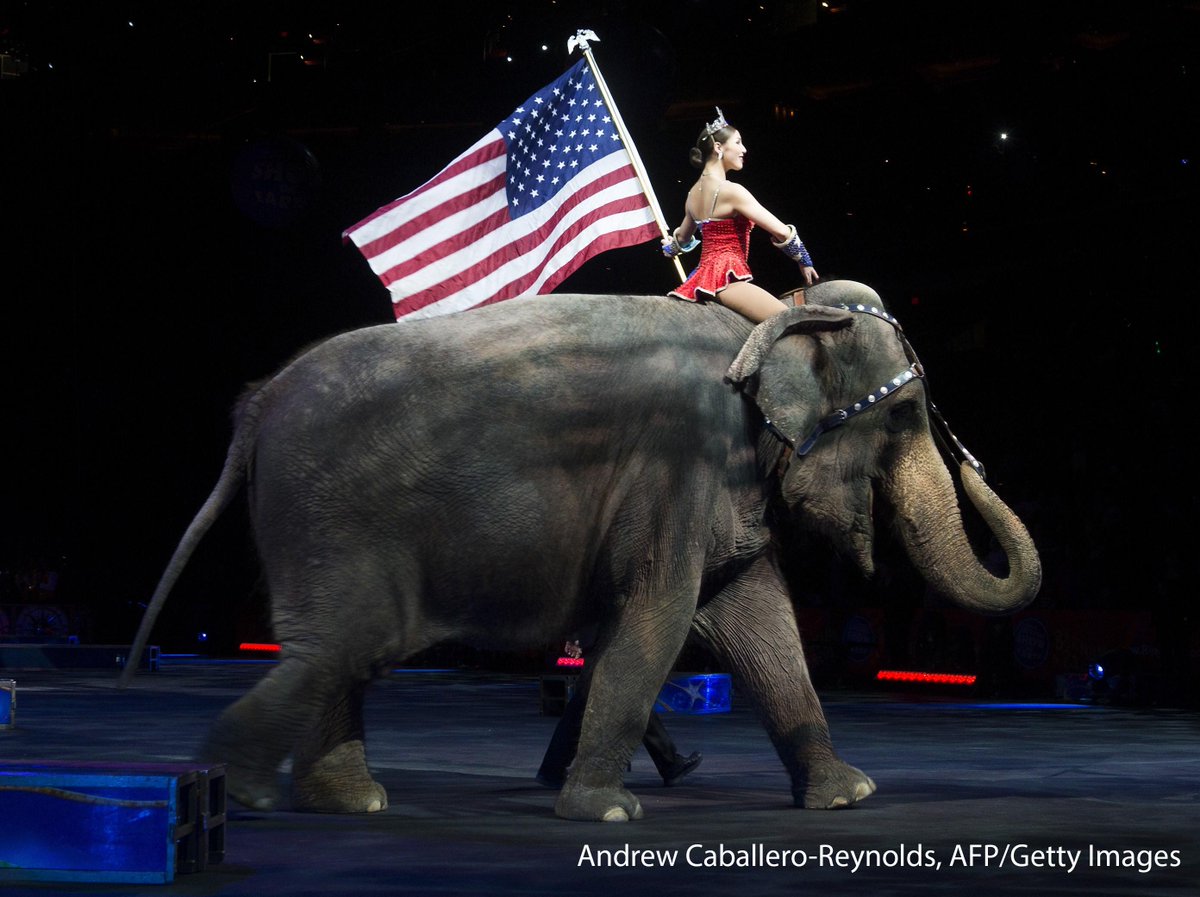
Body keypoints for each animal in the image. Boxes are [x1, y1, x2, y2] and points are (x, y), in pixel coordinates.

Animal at [120, 279, 1040, 822]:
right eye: (905, 416)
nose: (975, 459)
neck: (762, 322)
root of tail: (257, 403)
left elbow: (762, 625)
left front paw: (847, 796)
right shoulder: (680, 466)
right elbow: (661, 618)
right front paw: (605, 809)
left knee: (336, 650)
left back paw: (349, 802)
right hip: (327, 513)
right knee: (347, 641)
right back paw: (231, 788)